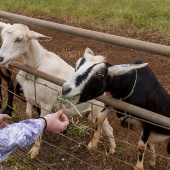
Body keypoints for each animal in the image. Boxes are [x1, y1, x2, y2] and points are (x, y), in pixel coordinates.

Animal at [0, 22, 116, 158]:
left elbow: (42, 121)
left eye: (19, 39)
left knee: (107, 129)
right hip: (93, 114)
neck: (36, 67)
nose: (1, 58)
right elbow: (29, 116)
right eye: (3, 36)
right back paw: (105, 148)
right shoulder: (30, 98)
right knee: (103, 128)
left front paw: (34, 151)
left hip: (98, 111)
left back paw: (108, 149)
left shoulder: (46, 104)